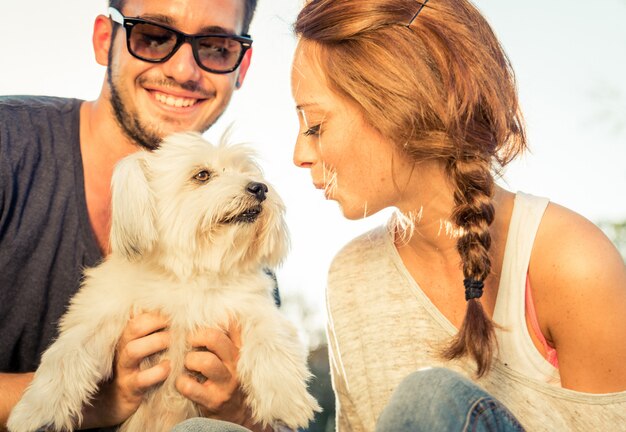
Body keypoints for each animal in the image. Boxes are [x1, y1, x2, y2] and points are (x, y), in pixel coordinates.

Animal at [8, 132, 322, 432]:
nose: (259, 188)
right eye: (202, 175)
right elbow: (67, 355)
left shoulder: (254, 309)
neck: (189, 273)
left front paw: (286, 401)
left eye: (246, 172)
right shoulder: (99, 314)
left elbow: (273, 342)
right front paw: (34, 411)